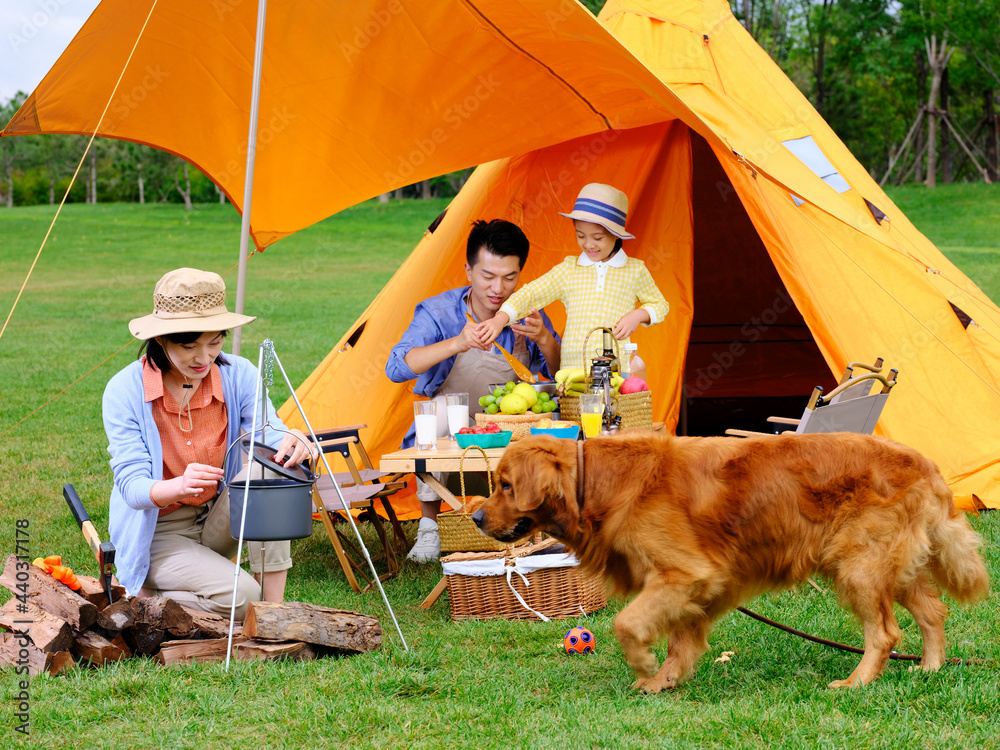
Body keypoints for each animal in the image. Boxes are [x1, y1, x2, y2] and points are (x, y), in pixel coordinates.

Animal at [472, 434, 988, 692]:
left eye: (505, 485)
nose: (474, 516)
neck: (595, 483)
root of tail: (924, 462)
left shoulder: (686, 574)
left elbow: (625, 623)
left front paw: (643, 665)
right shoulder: (702, 584)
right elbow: (681, 640)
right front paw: (665, 680)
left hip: (858, 567)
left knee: (884, 633)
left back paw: (856, 681)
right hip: (892, 567)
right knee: (932, 612)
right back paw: (930, 668)